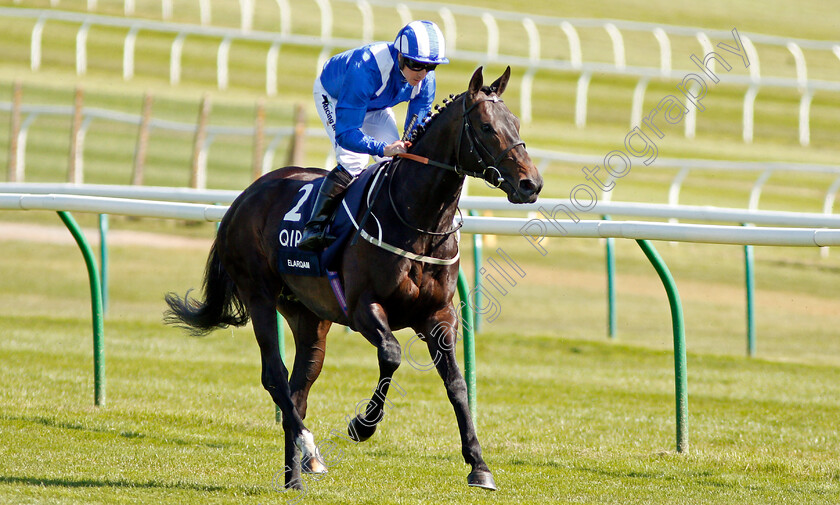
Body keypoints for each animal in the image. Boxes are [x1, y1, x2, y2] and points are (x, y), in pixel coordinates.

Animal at [164, 65, 544, 490]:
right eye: (485, 127)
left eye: (515, 123)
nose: (531, 184)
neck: (418, 221)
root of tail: (243, 198)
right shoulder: (364, 308)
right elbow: (392, 354)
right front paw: (362, 426)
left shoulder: (439, 315)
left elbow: (457, 384)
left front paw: (479, 464)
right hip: (259, 294)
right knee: (275, 376)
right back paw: (309, 448)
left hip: (309, 316)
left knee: (299, 386)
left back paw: (295, 476)